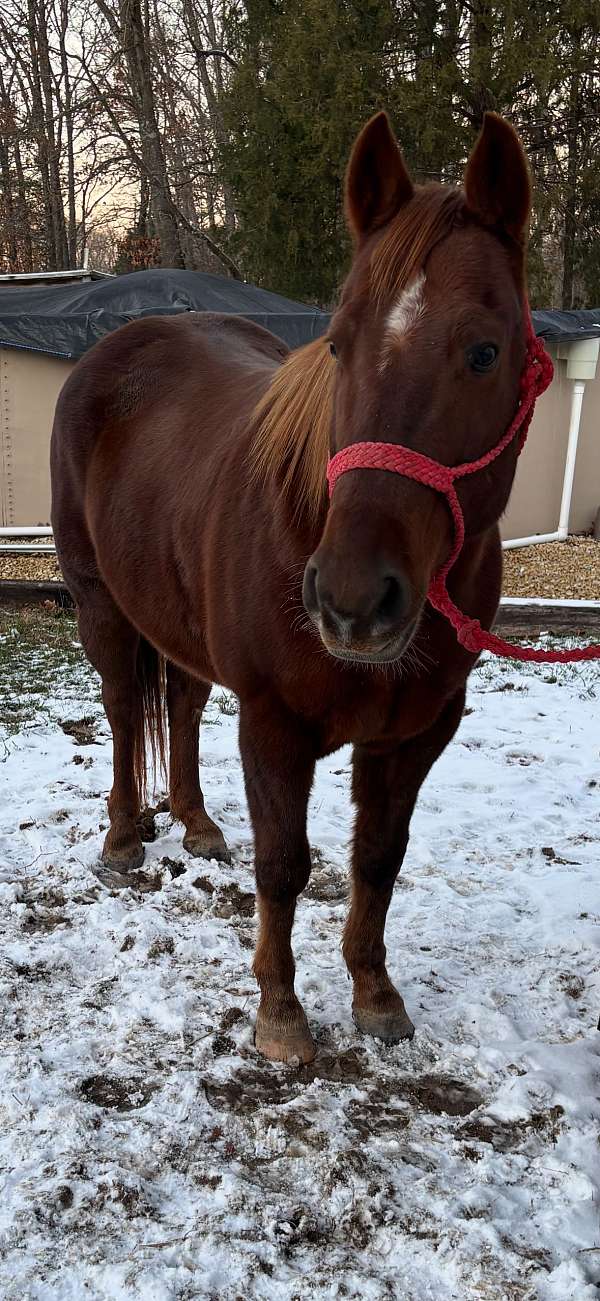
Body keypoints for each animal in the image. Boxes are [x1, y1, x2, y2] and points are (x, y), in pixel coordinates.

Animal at [51, 110, 535, 1066]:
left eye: (484, 351)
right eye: (339, 342)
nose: (351, 601)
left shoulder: (418, 734)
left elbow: (378, 857)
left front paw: (376, 994)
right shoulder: (274, 724)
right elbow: (284, 864)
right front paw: (278, 1012)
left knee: (184, 703)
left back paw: (196, 823)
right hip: (100, 602)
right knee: (124, 710)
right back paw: (124, 836)